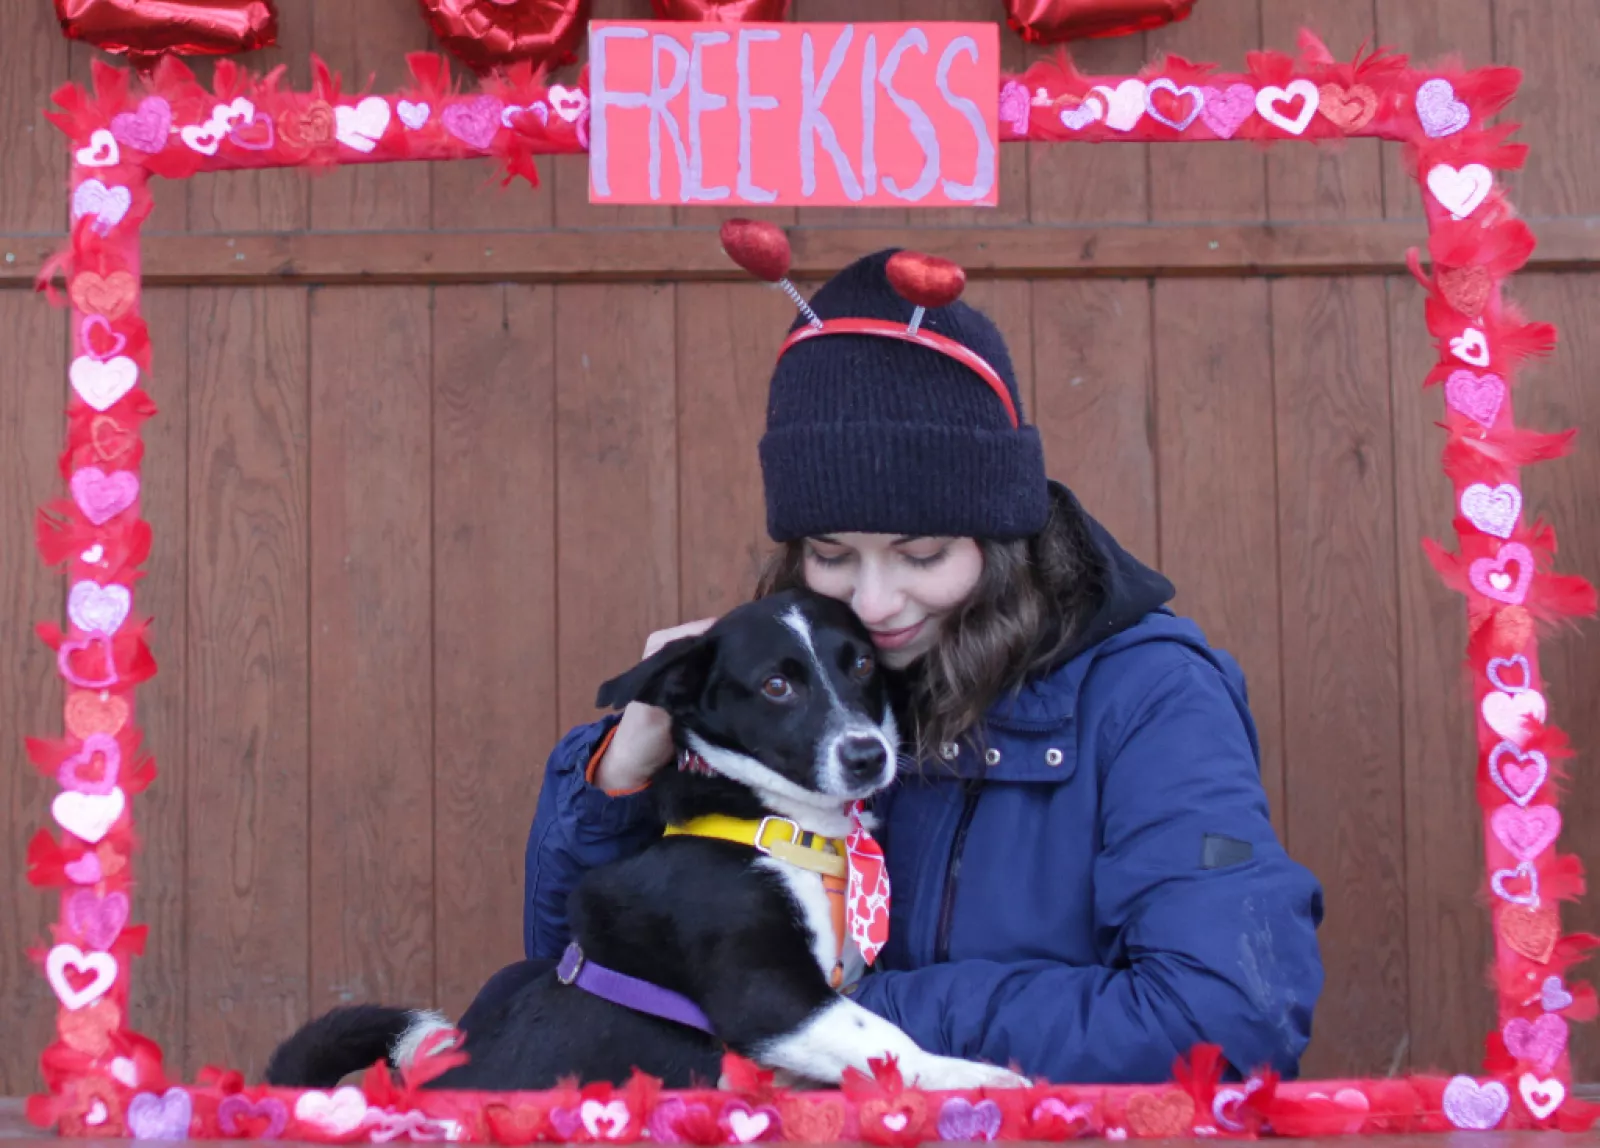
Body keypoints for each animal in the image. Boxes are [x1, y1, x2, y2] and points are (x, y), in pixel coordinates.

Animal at [263, 588, 1028, 1092]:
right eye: (776, 685)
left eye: (862, 665)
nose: (869, 756)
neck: (787, 827)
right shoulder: (768, 995)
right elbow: (888, 1041)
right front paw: (979, 1077)